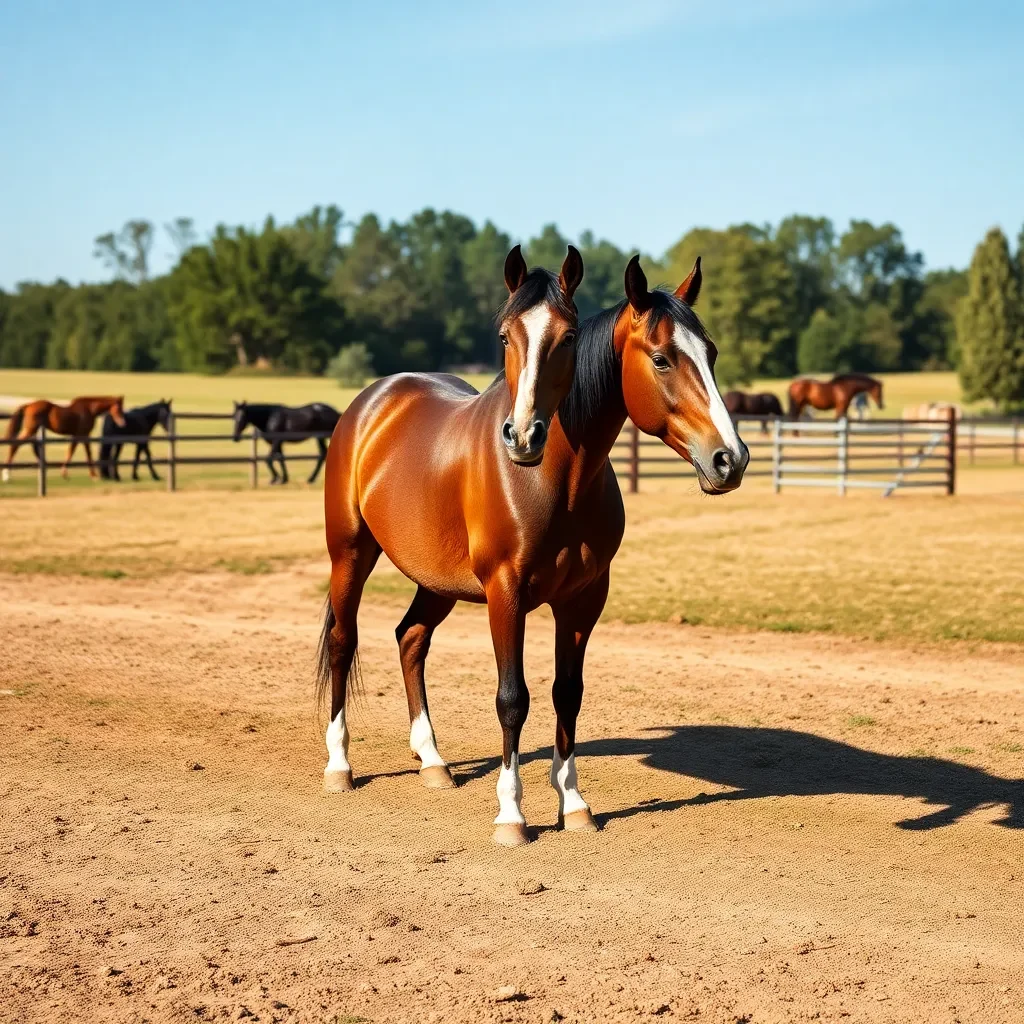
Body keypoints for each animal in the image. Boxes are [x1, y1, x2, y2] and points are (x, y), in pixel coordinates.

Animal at [315, 245, 749, 847]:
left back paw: (433, 761)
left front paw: (574, 803)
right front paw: (511, 814)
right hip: (351, 554)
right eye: (662, 359)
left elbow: (568, 692)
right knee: (343, 640)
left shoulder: (583, 600)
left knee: (411, 639)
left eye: (709, 353)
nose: (729, 458)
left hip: (437, 579)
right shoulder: (506, 594)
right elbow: (511, 698)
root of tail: (373, 401)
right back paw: (340, 766)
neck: (553, 482)